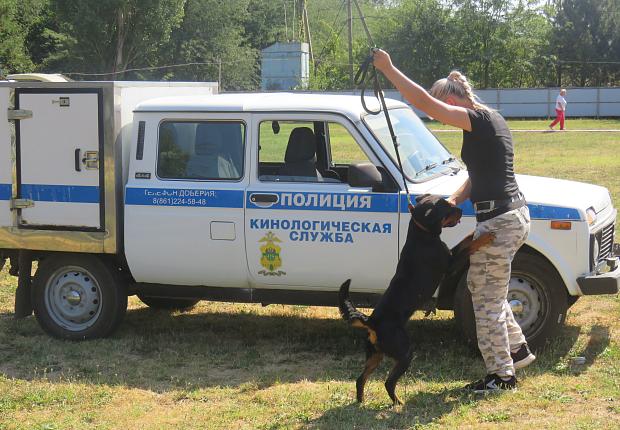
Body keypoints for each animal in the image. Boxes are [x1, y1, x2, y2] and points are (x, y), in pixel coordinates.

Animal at [340, 193, 494, 404]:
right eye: (446, 208)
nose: (462, 210)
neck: (423, 234)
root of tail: (372, 321)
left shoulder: (451, 253)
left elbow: (465, 240)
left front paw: (474, 231)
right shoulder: (451, 264)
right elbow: (469, 246)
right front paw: (486, 236)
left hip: (375, 354)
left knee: (360, 379)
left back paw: (361, 401)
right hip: (404, 352)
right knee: (388, 382)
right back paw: (397, 402)